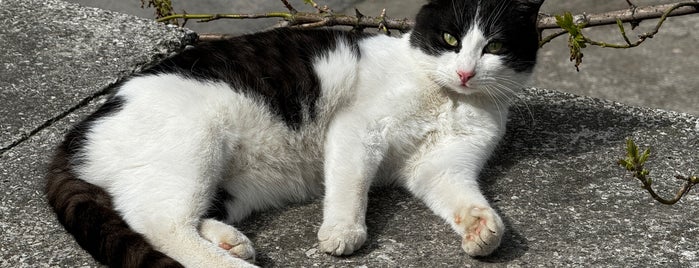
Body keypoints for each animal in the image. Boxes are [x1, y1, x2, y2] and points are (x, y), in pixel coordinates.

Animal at [46, 1, 544, 266]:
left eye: (496, 46)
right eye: (449, 39)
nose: (465, 72)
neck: (447, 99)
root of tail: (76, 133)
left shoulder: (442, 168)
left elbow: (465, 199)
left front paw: (484, 229)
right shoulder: (357, 130)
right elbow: (350, 185)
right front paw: (343, 231)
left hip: (231, 184)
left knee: (168, 215)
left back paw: (228, 240)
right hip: (194, 144)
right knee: (159, 224)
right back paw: (227, 263)